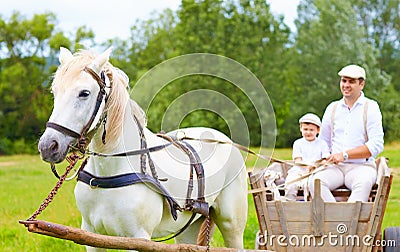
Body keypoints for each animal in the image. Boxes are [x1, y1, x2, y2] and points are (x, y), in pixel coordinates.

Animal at [39, 47, 248, 250]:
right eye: (54, 92)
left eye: (84, 93)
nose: (48, 146)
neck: (108, 174)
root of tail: (223, 139)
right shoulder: (91, 236)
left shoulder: (137, 237)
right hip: (189, 228)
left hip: (232, 226)